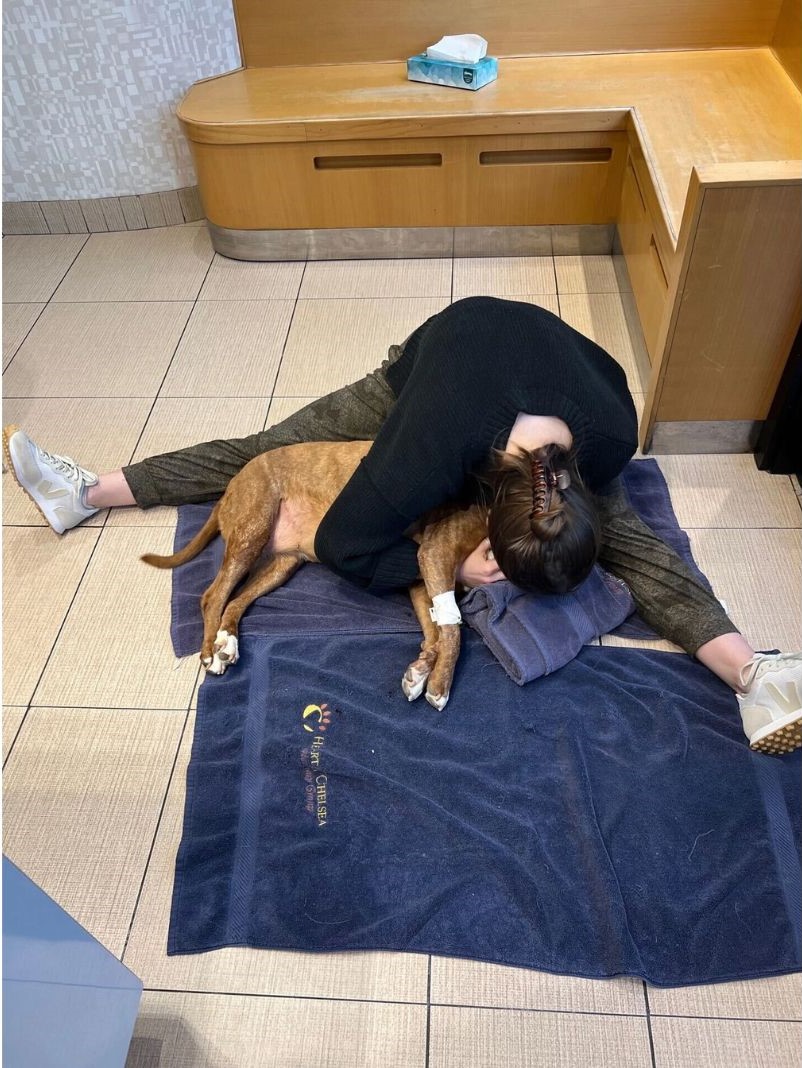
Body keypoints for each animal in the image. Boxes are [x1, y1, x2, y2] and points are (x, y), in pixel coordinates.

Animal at [140, 437, 486, 704]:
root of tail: (228, 490)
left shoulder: (419, 575)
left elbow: (436, 631)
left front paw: (422, 670)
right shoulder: (435, 551)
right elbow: (453, 630)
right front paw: (440, 685)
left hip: (281, 564)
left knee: (236, 600)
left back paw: (227, 642)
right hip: (253, 529)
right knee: (214, 595)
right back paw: (211, 652)